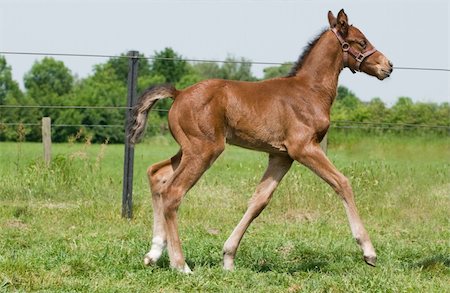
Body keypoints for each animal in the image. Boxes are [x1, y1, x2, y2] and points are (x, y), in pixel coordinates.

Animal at [128, 9, 392, 274]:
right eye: (361, 42)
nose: (387, 66)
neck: (309, 92)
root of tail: (179, 93)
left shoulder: (281, 156)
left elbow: (259, 201)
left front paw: (228, 258)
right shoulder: (303, 148)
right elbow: (342, 182)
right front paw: (368, 251)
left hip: (189, 148)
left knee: (157, 175)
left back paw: (153, 253)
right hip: (204, 149)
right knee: (173, 192)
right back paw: (180, 265)